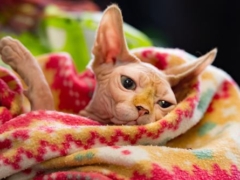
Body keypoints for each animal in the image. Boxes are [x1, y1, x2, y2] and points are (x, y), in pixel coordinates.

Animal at [0, 4, 218, 125]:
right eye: (127, 83)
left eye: (164, 104)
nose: (143, 110)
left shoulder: (43, 114)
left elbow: (44, 96)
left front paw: (16, 52)